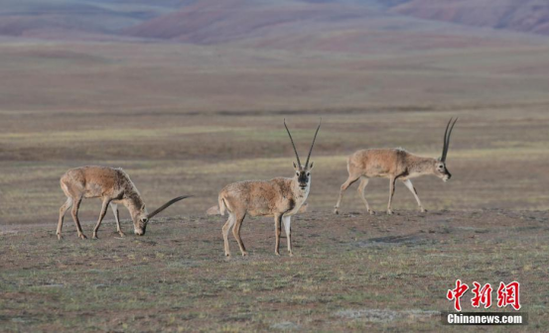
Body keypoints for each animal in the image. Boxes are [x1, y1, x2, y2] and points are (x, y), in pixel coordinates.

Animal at [56, 165, 190, 239]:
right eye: (144, 219)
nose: (140, 233)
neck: (122, 180)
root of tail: (63, 178)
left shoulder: (113, 201)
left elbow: (117, 213)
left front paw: (121, 233)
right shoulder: (106, 198)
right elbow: (103, 213)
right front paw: (95, 234)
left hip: (71, 198)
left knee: (62, 209)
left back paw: (60, 235)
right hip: (78, 197)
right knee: (74, 212)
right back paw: (82, 235)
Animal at [209, 119, 322, 256]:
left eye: (308, 173)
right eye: (297, 173)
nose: (302, 184)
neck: (290, 187)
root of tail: (223, 191)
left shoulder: (287, 215)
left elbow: (289, 232)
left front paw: (290, 252)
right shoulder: (278, 214)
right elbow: (278, 231)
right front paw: (277, 252)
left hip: (232, 214)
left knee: (225, 228)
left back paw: (228, 253)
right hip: (240, 213)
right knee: (235, 230)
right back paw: (244, 252)